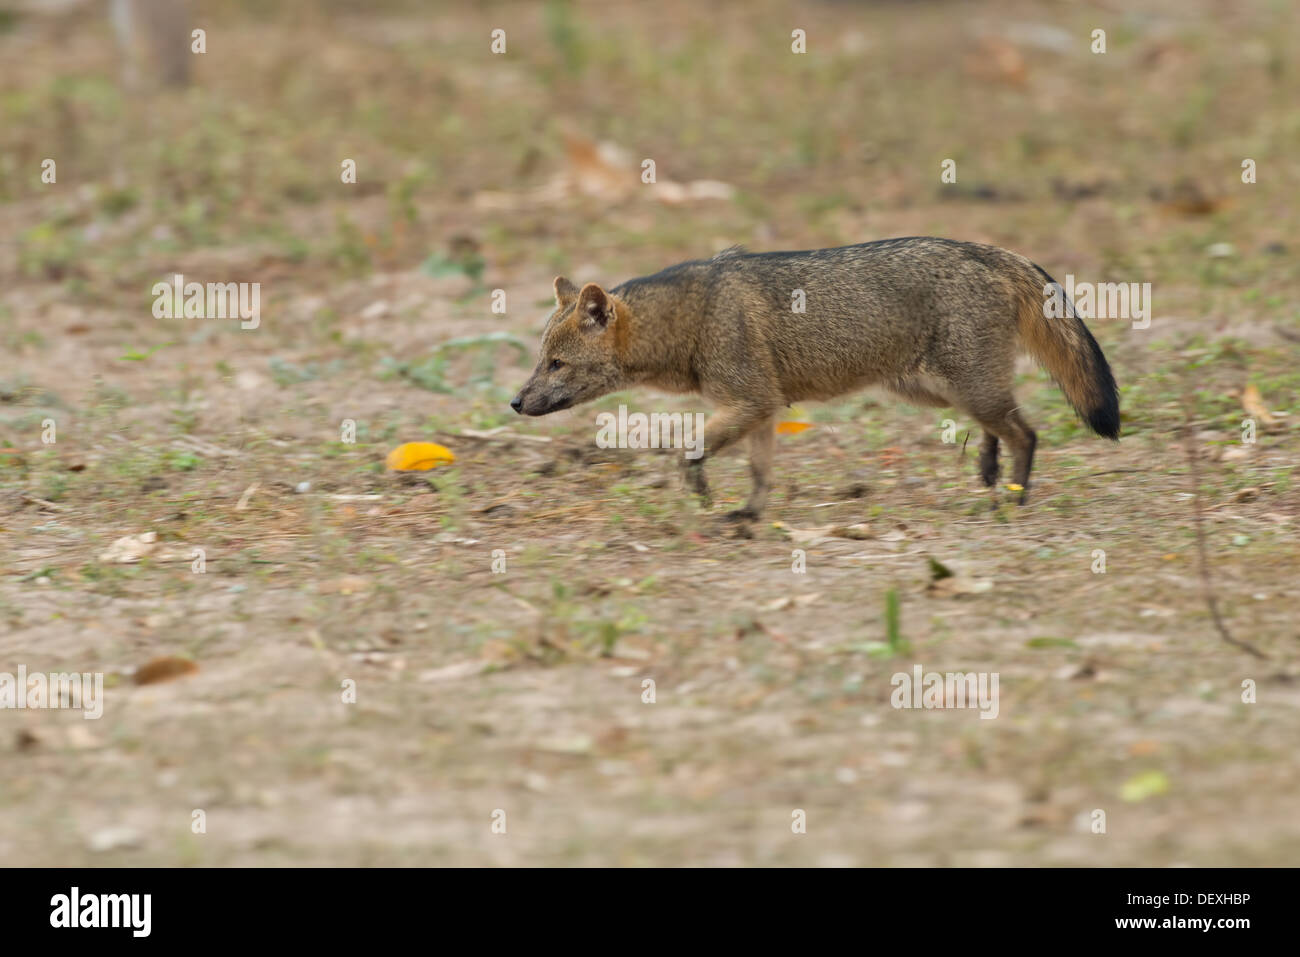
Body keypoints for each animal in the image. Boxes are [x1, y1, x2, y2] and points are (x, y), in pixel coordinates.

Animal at [510, 237, 1119, 521]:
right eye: (540, 359)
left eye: (556, 364)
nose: (515, 402)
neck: (693, 316)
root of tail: (988, 250)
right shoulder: (761, 408)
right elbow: (760, 472)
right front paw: (750, 515)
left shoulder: (750, 401)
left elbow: (690, 450)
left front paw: (702, 491)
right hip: (940, 392)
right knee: (1003, 426)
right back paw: (990, 473)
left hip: (964, 389)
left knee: (1027, 433)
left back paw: (1014, 498)